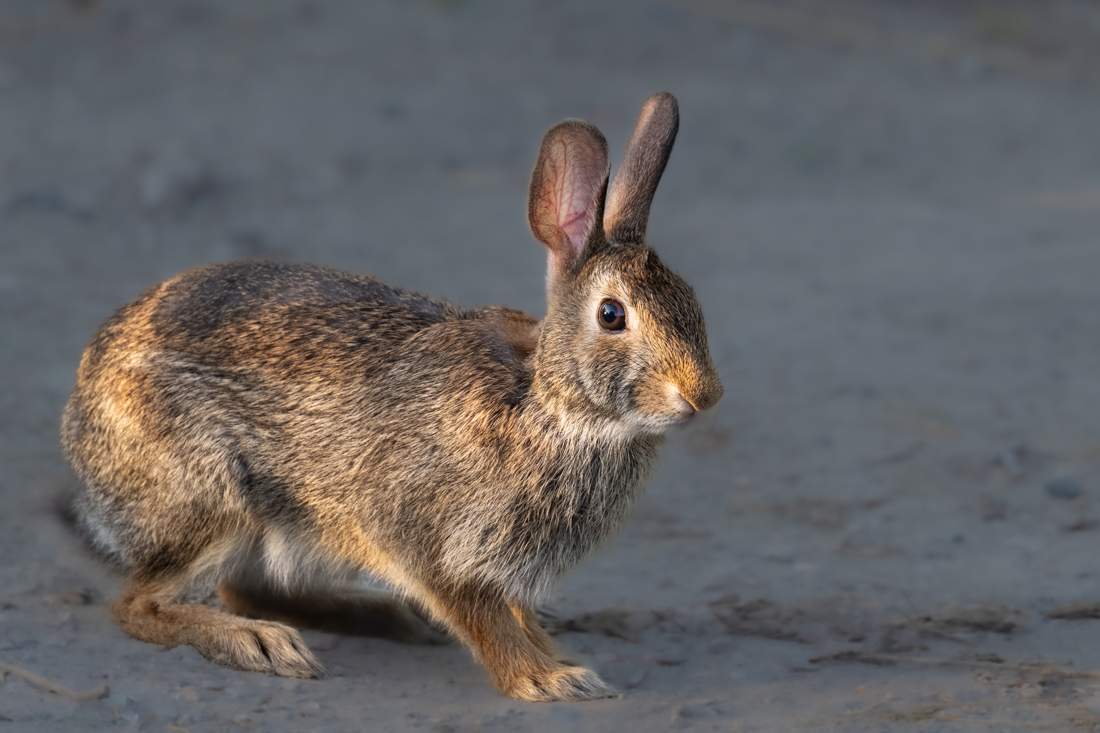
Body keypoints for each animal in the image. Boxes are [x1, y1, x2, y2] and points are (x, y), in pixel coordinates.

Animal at [64, 93, 726, 704]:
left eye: (691, 299)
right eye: (613, 315)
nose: (705, 396)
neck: (549, 403)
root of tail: (80, 416)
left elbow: (516, 616)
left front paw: (559, 658)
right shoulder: (430, 541)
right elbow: (483, 619)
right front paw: (549, 679)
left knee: (246, 588)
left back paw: (385, 617)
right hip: (216, 501)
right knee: (140, 604)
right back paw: (260, 643)